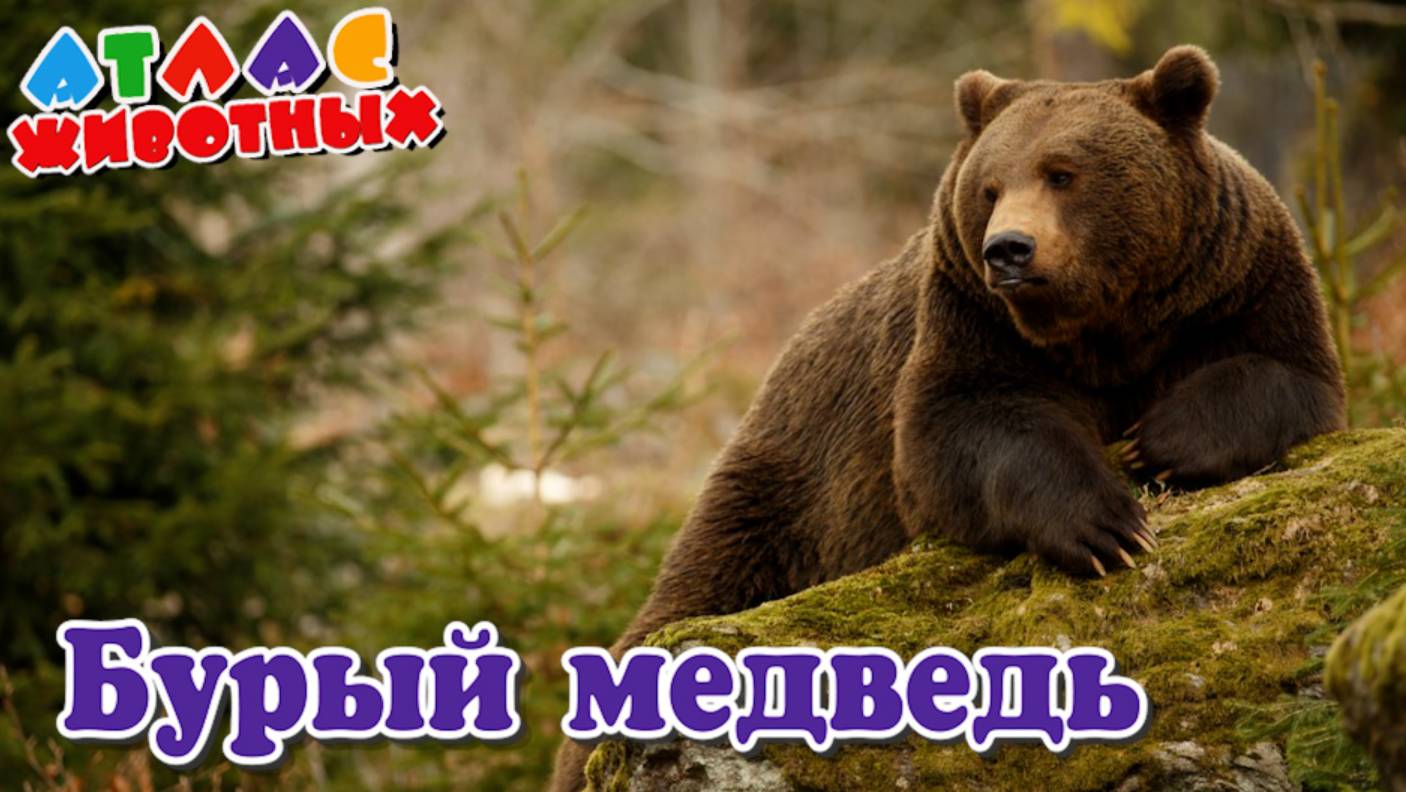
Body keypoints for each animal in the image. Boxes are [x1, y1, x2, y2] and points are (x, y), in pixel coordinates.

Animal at [551, 45, 1344, 790]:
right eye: (990, 187)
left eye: (1063, 172)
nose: (1009, 249)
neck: (1101, 328)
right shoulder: (971, 320)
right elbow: (964, 435)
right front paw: (1106, 527)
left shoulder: (1233, 281)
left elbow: (1285, 373)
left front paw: (1159, 443)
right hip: (786, 494)